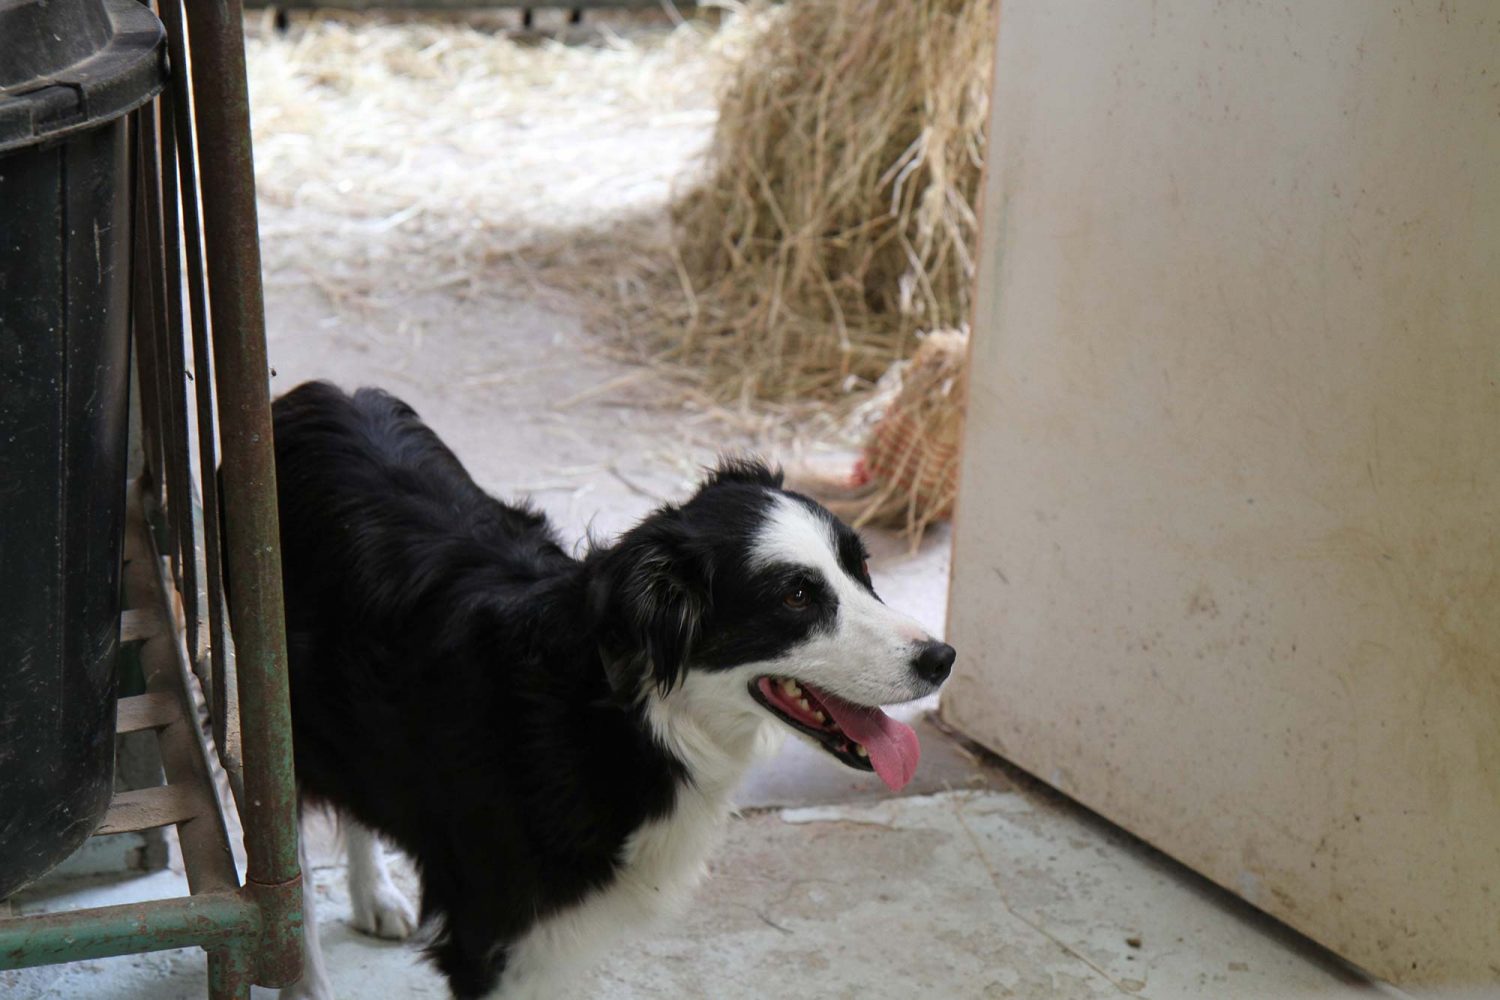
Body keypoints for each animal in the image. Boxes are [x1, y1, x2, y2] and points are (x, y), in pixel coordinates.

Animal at [265, 383, 954, 1000]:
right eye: (797, 596)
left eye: (861, 569)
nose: (943, 659)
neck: (632, 717)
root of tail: (313, 394)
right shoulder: (489, 932)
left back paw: (374, 894)